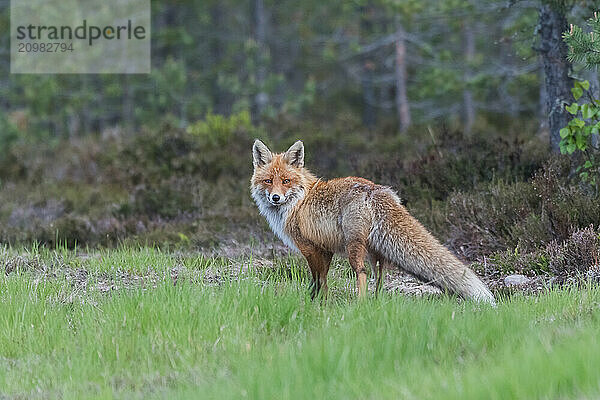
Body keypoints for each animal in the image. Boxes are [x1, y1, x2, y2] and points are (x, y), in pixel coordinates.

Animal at [251, 139, 494, 304]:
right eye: (268, 181)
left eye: (286, 181)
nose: (275, 197)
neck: (299, 202)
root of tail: (376, 191)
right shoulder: (325, 249)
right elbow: (324, 282)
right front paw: (322, 304)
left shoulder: (311, 248)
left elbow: (317, 280)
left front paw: (315, 304)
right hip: (375, 250)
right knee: (380, 276)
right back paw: (376, 304)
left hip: (354, 247)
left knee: (362, 273)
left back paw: (360, 305)